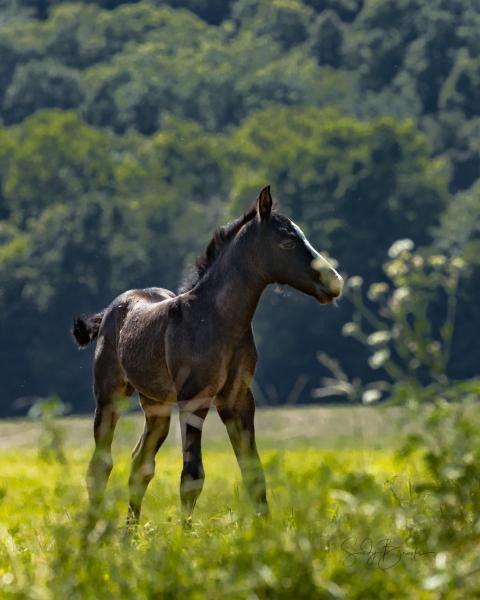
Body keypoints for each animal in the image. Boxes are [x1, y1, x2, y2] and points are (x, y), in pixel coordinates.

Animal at [71, 184, 344, 524]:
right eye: (288, 241)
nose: (335, 282)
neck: (218, 320)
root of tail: (111, 309)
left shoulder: (238, 400)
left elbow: (254, 473)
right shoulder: (194, 398)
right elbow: (191, 476)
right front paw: (185, 535)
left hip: (156, 406)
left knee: (140, 464)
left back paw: (129, 532)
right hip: (110, 397)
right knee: (100, 465)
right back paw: (93, 530)